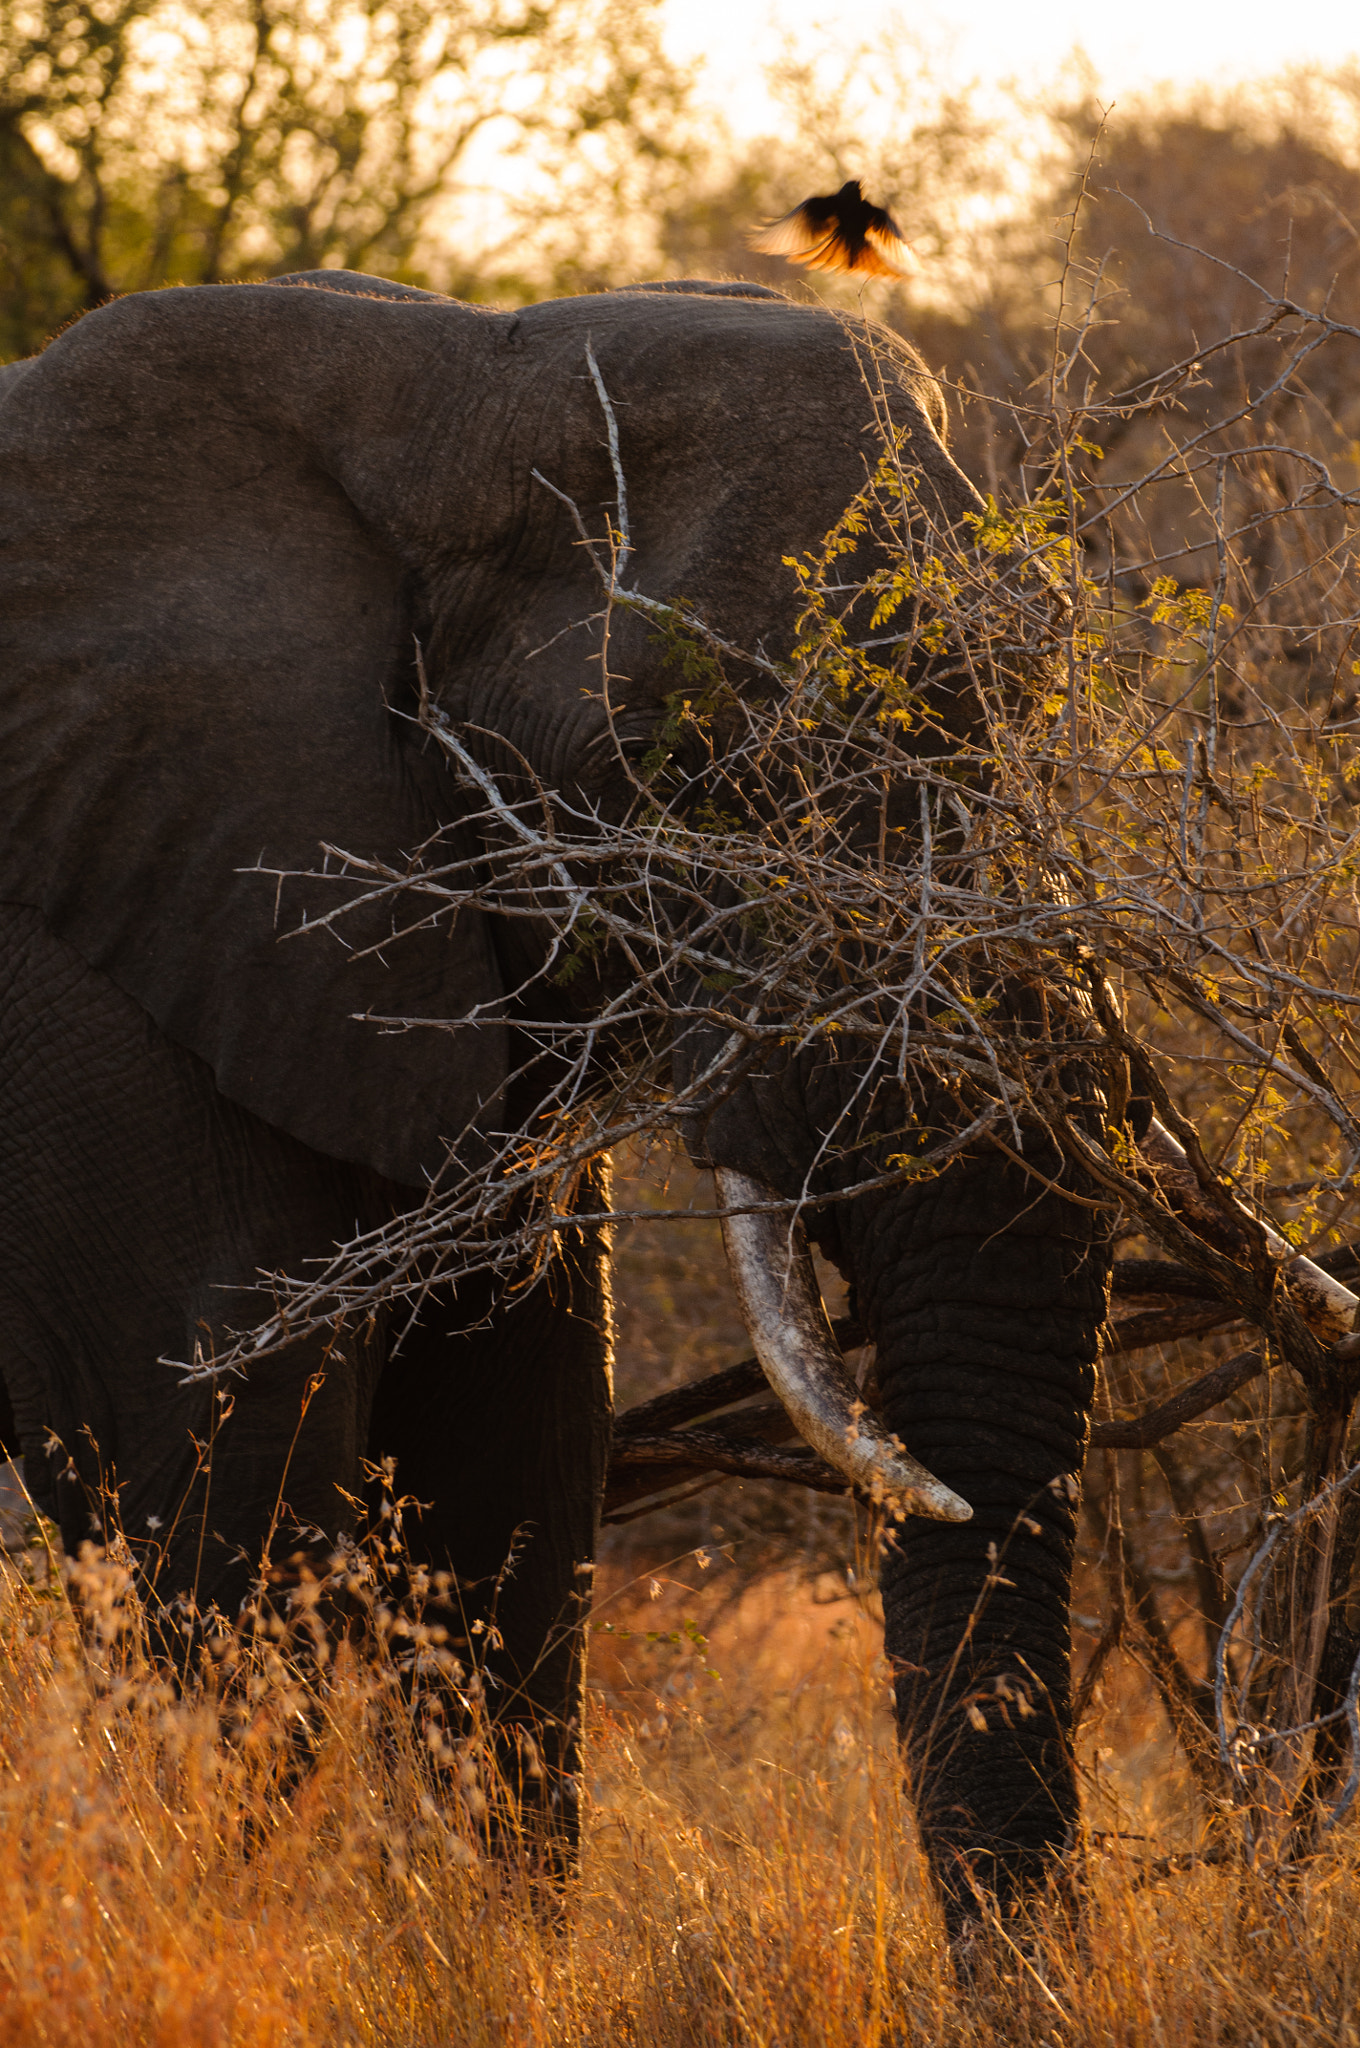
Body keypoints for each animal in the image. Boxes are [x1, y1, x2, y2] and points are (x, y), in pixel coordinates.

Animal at [0, 266, 1109, 1928]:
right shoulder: (95, 973)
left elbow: (515, 1457)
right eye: (672, 765)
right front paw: (213, 1930)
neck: (445, 380)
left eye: (1028, 691)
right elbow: (234, 1476)